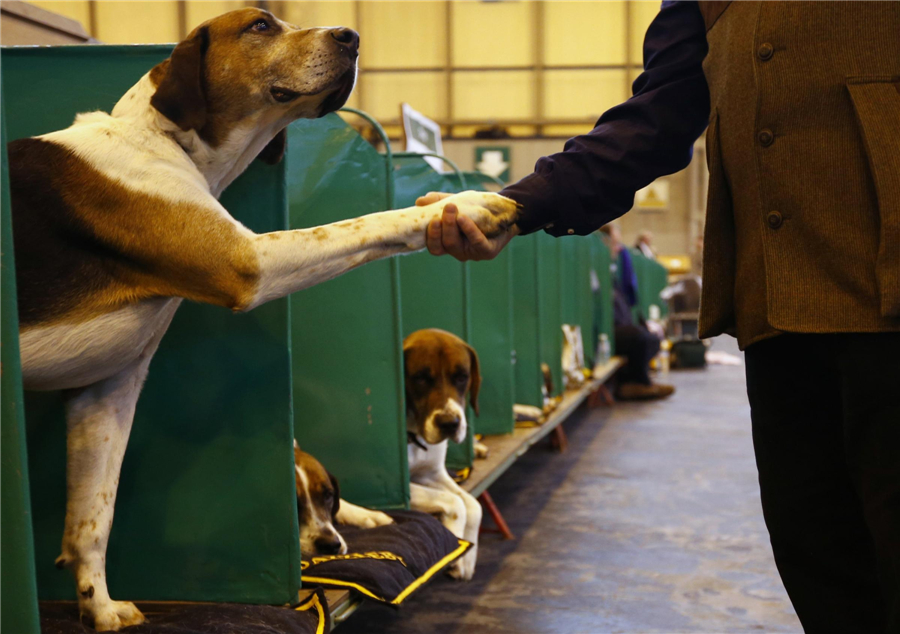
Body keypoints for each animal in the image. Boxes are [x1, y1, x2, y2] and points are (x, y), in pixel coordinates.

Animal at [402, 328, 482, 580]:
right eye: (420, 378)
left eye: (462, 376)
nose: (449, 423)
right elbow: (456, 502)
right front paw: (456, 550)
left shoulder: (432, 474)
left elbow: (473, 505)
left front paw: (468, 558)